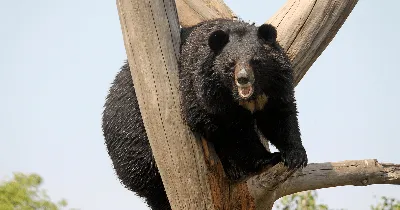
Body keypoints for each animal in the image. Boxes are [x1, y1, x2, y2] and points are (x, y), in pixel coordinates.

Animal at [101, 18, 308, 209]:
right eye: (231, 63)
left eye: (256, 61)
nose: (243, 79)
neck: (246, 97)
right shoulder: (203, 92)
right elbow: (231, 130)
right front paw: (267, 158)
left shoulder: (275, 87)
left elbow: (279, 116)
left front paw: (296, 156)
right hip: (138, 146)